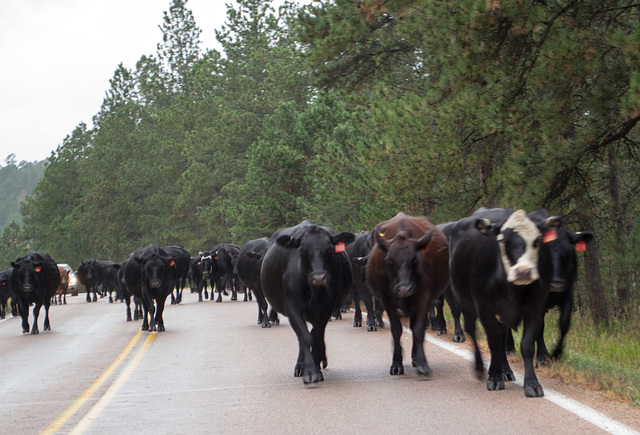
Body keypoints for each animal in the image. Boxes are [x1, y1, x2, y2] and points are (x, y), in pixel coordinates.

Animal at [258, 223, 352, 384]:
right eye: (302, 250)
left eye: (329, 249)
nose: (319, 277)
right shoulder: (292, 308)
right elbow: (305, 337)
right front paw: (309, 371)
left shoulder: (326, 308)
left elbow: (316, 337)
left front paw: (316, 368)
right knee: (302, 338)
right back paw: (300, 366)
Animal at [364, 213, 450, 376]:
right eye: (389, 260)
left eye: (414, 259)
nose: (405, 289)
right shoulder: (387, 298)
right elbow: (396, 330)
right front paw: (396, 364)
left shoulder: (424, 295)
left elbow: (418, 329)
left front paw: (422, 363)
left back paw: (415, 358)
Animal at [448, 208, 556, 398]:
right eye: (503, 240)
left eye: (537, 240)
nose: (523, 272)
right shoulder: (485, 310)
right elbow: (493, 343)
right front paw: (494, 377)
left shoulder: (535, 308)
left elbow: (527, 345)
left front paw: (532, 384)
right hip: (466, 305)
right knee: (473, 331)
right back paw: (480, 368)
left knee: (502, 336)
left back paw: (506, 370)